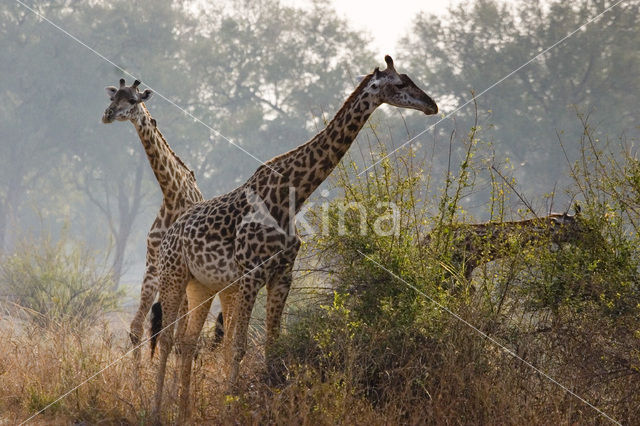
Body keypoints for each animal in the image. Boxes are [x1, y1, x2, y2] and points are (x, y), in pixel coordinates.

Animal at [99, 79, 231, 360]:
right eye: (113, 97)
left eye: (133, 100)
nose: (108, 114)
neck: (172, 195)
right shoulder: (152, 266)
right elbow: (137, 329)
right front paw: (140, 374)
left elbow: (176, 334)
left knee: (185, 332)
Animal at [149, 55, 440, 422]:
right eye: (400, 83)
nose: (431, 105)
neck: (291, 196)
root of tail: (169, 233)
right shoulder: (251, 275)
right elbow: (238, 347)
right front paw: (232, 407)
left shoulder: (282, 275)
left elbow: (272, 346)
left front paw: (269, 403)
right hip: (173, 275)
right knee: (167, 339)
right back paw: (156, 410)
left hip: (202, 285)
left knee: (186, 343)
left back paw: (184, 412)